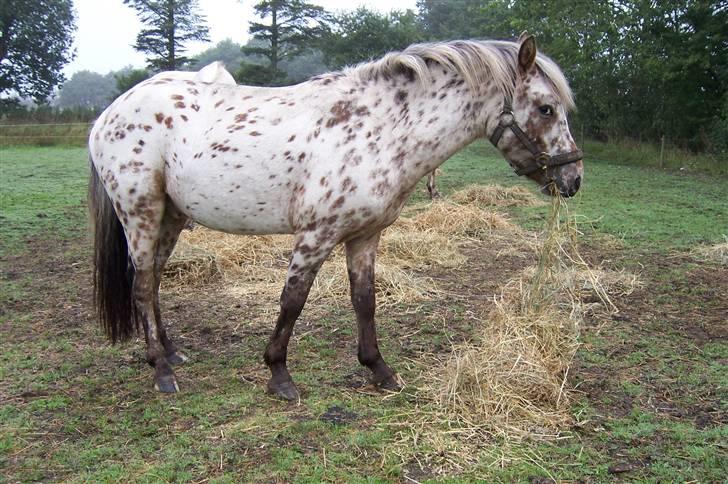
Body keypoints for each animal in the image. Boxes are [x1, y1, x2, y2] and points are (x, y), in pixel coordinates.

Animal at [88, 35, 583, 399]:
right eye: (545, 108)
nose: (573, 179)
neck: (380, 130)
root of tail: (109, 114)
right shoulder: (316, 235)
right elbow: (293, 300)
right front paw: (279, 375)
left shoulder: (365, 236)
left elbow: (365, 300)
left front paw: (379, 369)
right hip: (141, 213)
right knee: (143, 286)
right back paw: (161, 371)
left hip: (171, 217)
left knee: (152, 283)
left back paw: (170, 353)